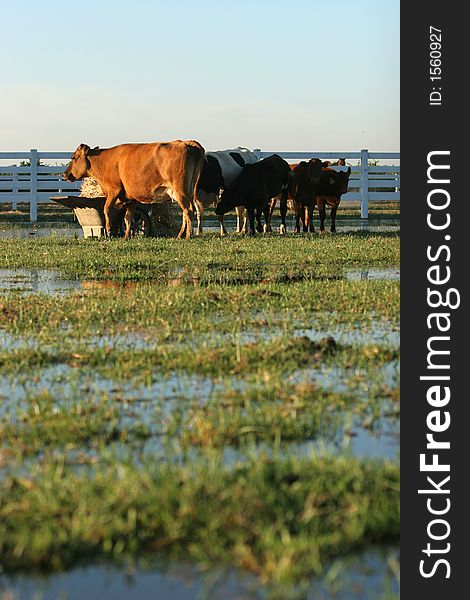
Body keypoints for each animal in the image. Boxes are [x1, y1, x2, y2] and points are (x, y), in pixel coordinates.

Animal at [62, 141, 204, 239]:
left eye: (73, 157)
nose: (64, 174)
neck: (105, 161)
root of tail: (187, 143)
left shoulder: (114, 190)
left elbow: (106, 209)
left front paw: (108, 230)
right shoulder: (130, 199)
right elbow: (128, 217)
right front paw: (127, 236)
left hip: (180, 191)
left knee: (188, 210)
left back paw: (187, 236)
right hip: (188, 192)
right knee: (187, 211)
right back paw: (180, 235)